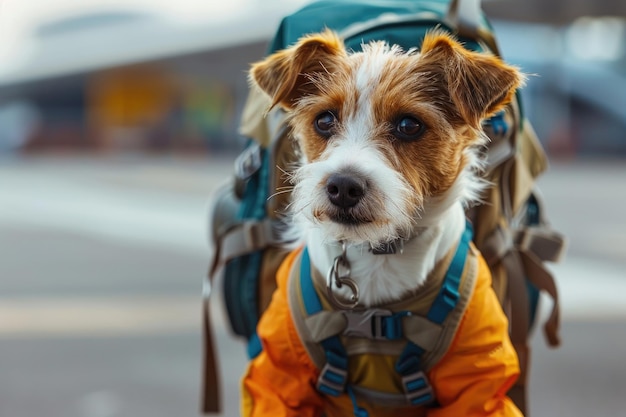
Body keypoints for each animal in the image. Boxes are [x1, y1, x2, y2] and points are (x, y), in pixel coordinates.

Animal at [241, 29, 524, 416]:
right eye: (324, 120)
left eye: (408, 125)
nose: (343, 186)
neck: (377, 254)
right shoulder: (279, 375)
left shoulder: (478, 384)